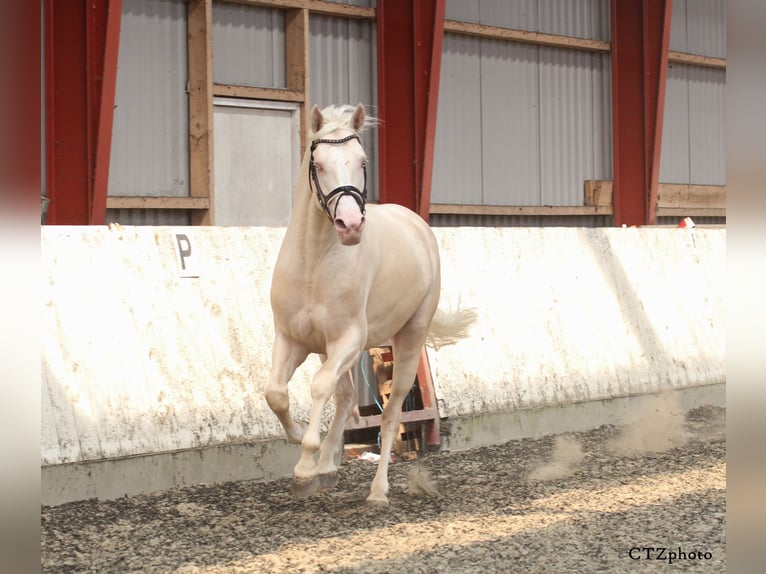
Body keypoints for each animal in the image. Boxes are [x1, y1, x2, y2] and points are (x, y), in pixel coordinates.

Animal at [268, 106, 476, 506]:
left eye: (362, 161)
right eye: (318, 164)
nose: (350, 225)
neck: (314, 264)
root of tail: (415, 223)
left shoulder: (348, 339)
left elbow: (319, 388)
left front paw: (304, 467)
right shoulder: (292, 339)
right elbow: (276, 394)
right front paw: (299, 441)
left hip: (408, 340)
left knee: (390, 413)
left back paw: (377, 491)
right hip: (329, 348)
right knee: (347, 397)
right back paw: (328, 468)